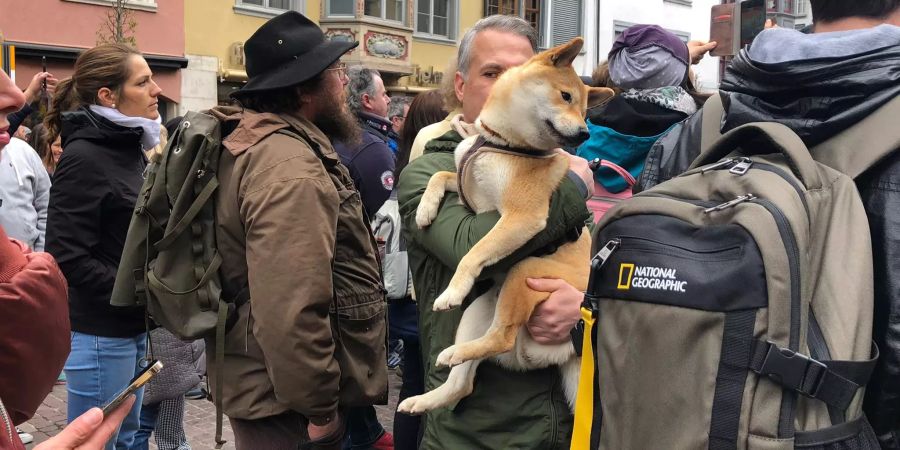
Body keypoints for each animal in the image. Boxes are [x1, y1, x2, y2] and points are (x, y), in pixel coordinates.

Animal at [398, 37, 616, 414]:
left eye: (586, 110)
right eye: (566, 96)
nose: (584, 132)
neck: (500, 144)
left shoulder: (521, 216)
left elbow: (473, 252)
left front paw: (452, 290)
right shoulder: (469, 191)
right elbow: (440, 176)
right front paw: (425, 209)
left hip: (523, 273)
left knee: (501, 337)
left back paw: (455, 352)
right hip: (478, 311)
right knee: (463, 384)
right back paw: (428, 395)